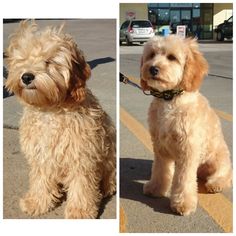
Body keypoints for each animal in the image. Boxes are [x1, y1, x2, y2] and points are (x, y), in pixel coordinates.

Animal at [5, 20, 115, 219]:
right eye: (23, 59)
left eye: (48, 61)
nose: (26, 76)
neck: (50, 110)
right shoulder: (41, 154)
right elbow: (40, 179)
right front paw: (37, 202)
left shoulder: (82, 155)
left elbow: (81, 184)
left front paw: (79, 211)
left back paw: (106, 188)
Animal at [140, 35, 232, 216]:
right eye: (151, 55)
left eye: (172, 57)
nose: (152, 68)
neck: (169, 99)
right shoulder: (160, 146)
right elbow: (160, 170)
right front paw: (156, 188)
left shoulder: (188, 149)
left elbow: (184, 179)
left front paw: (183, 203)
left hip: (219, 160)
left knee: (226, 175)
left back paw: (216, 184)